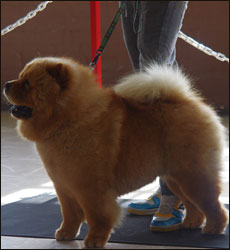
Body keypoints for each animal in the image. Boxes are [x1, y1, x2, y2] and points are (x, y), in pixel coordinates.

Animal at [3, 57, 228, 248]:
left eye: (27, 83)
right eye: (21, 77)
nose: (6, 84)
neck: (67, 119)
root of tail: (190, 101)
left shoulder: (90, 187)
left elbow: (97, 216)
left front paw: (94, 240)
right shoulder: (63, 185)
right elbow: (69, 213)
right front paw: (65, 233)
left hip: (192, 174)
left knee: (212, 203)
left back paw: (213, 228)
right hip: (176, 177)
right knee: (193, 203)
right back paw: (191, 223)